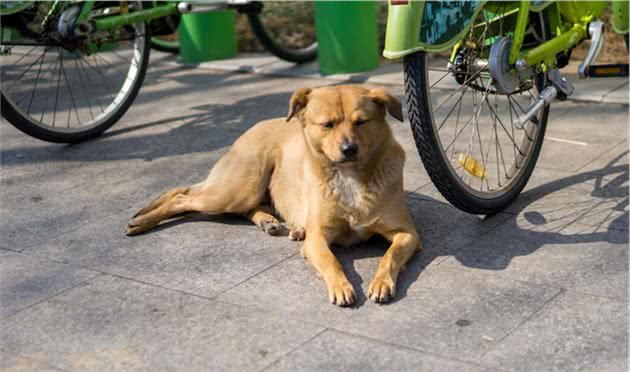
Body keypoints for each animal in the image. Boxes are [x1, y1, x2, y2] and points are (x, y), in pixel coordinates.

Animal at [127, 85, 424, 306]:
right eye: (327, 124)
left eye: (361, 122)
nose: (349, 149)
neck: (349, 176)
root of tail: (253, 127)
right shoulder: (318, 238)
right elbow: (331, 261)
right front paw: (341, 286)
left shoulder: (408, 234)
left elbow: (390, 256)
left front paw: (382, 282)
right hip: (238, 188)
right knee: (183, 197)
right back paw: (142, 222)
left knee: (241, 207)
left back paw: (269, 222)